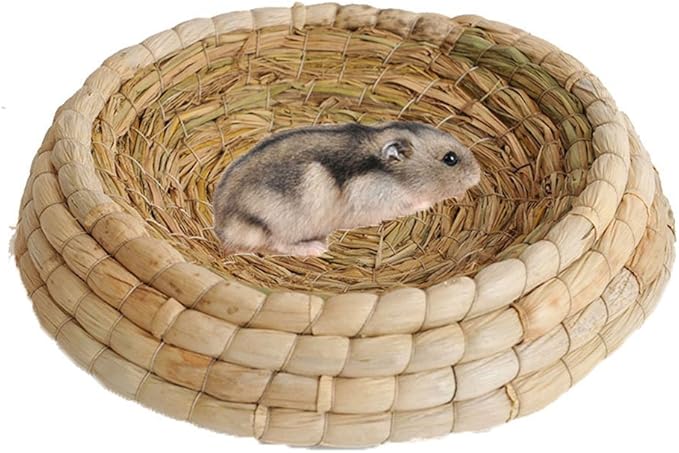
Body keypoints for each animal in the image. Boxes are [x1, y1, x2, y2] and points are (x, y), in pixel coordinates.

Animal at [212, 121, 481, 256]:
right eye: (450, 159)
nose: (478, 175)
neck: (394, 176)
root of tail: (222, 227)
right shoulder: (382, 203)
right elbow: (414, 202)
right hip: (282, 223)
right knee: (277, 244)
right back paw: (318, 248)